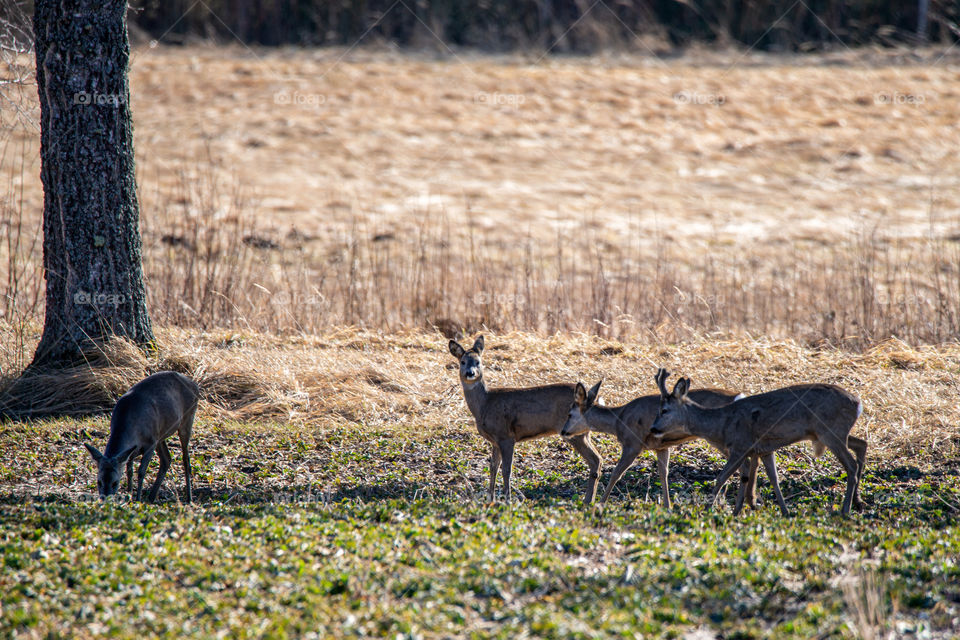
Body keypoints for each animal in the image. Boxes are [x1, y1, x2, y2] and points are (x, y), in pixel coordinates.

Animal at [85, 370, 201, 504]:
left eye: (115, 483)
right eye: (99, 482)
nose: (104, 500)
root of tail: (195, 386)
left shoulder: (150, 443)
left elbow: (141, 471)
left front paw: (137, 499)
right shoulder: (133, 449)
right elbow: (129, 471)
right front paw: (129, 495)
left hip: (187, 420)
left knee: (186, 459)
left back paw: (189, 498)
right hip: (160, 435)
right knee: (167, 459)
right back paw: (151, 497)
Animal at [448, 336, 600, 504]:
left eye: (478, 362)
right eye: (462, 362)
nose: (470, 373)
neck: (484, 404)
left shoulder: (506, 436)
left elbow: (506, 469)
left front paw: (507, 500)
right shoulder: (495, 440)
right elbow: (493, 467)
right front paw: (490, 499)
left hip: (574, 431)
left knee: (596, 460)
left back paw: (588, 500)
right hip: (582, 433)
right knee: (597, 459)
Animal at [560, 370, 760, 510]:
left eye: (569, 414)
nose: (563, 431)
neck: (618, 420)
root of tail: (739, 396)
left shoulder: (632, 444)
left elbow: (616, 473)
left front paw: (600, 503)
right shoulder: (662, 447)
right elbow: (663, 473)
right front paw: (667, 506)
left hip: (721, 437)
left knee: (743, 465)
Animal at [648, 376, 868, 516]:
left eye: (664, 410)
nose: (653, 428)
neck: (721, 424)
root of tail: (858, 404)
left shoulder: (740, 446)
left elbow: (721, 477)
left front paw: (708, 510)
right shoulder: (764, 449)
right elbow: (771, 479)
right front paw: (782, 512)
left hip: (830, 432)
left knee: (851, 465)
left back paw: (845, 510)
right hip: (831, 433)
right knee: (861, 444)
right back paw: (857, 503)